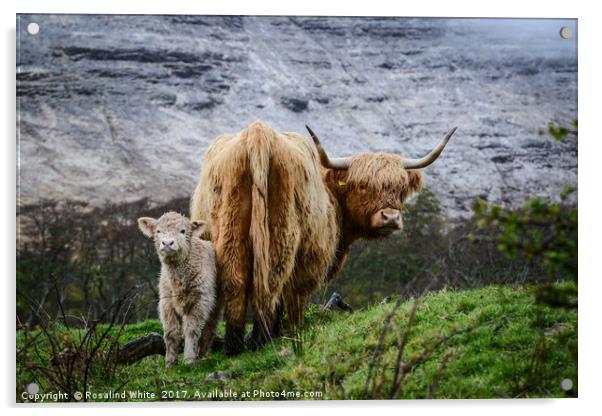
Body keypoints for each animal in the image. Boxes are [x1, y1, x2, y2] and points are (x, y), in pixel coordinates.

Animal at [137, 213, 220, 366]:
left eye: (182, 231)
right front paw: (170, 362)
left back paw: (203, 354)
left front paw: (189, 359)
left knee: (209, 326)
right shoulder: (166, 302)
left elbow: (192, 330)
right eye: (158, 231)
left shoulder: (201, 301)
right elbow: (171, 332)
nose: (167, 243)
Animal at [192, 119, 454, 354]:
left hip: (230, 231)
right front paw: (290, 332)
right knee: (272, 283)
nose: (390, 217)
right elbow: (293, 295)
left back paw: (235, 347)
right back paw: (265, 339)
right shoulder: (310, 258)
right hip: (281, 234)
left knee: (235, 280)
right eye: (362, 185)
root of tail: (259, 132)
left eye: (400, 188)